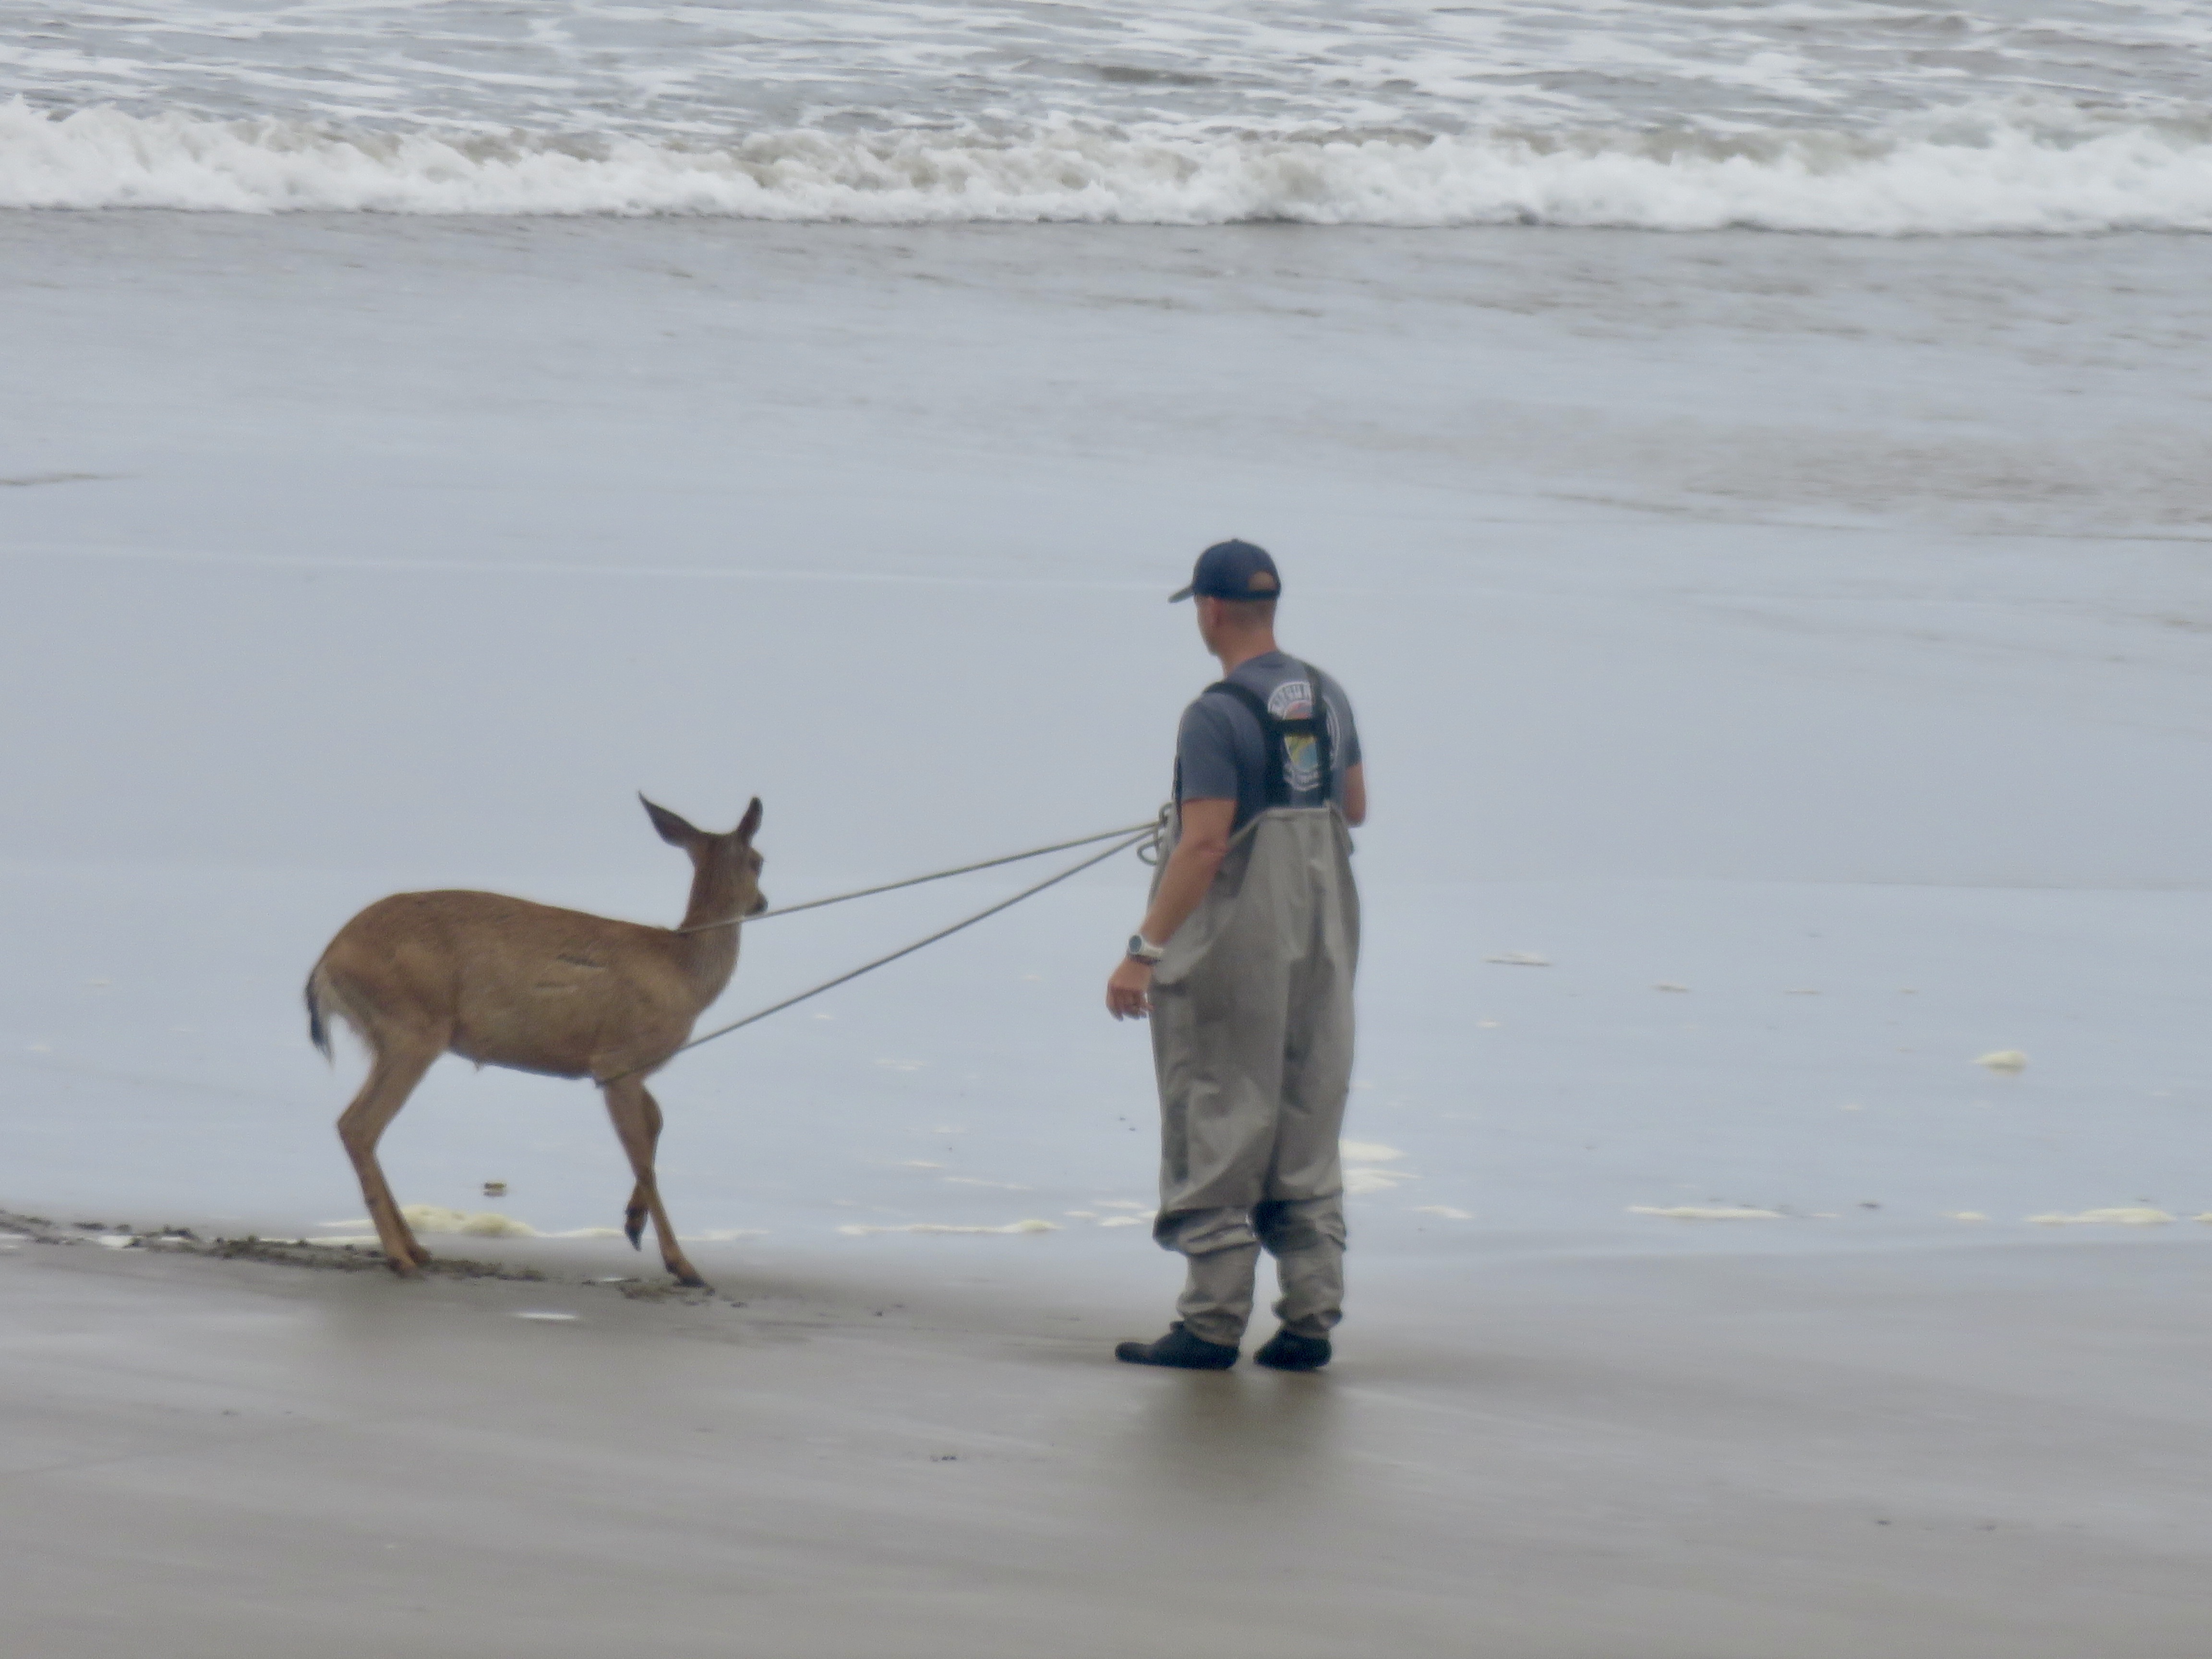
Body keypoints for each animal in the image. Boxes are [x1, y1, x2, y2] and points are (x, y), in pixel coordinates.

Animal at [304, 795, 765, 1289]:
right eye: (759, 861)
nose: (762, 902)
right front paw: (683, 1265)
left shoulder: (629, 1068)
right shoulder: (616, 1058)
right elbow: (640, 1153)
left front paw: (634, 1224)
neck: (684, 971)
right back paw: (400, 1258)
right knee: (359, 1125)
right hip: (412, 1030)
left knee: (361, 1127)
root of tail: (326, 963)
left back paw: (416, 1248)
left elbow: (657, 1122)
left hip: (392, 1037)